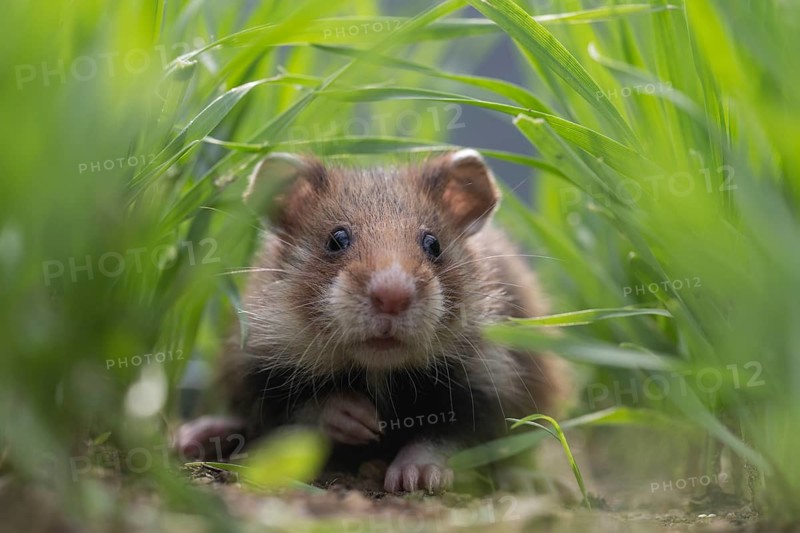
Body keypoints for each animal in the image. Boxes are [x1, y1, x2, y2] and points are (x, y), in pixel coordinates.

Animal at [175, 149, 569, 493]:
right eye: (336, 239)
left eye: (433, 244)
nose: (392, 296)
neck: (378, 368)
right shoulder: (257, 364)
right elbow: (300, 407)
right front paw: (358, 419)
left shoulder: (489, 385)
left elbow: (449, 435)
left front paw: (414, 477)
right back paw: (192, 437)